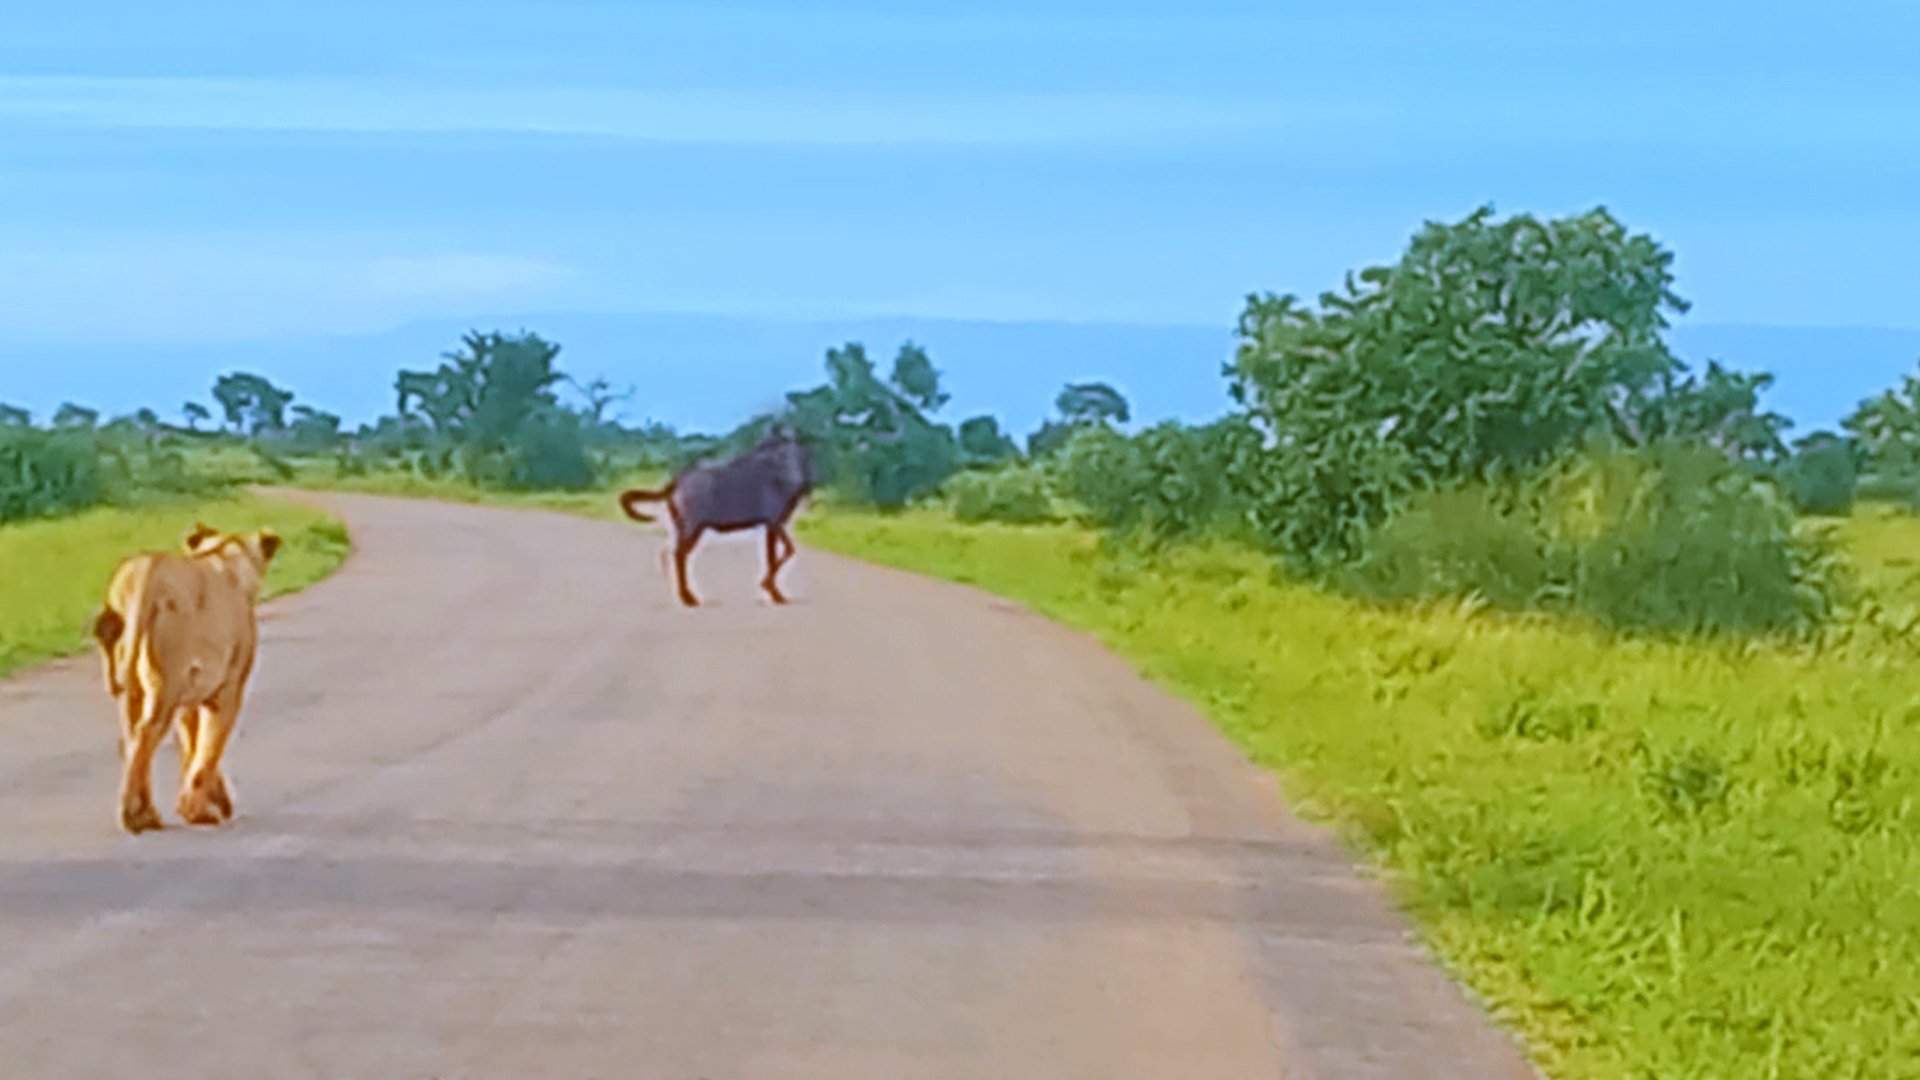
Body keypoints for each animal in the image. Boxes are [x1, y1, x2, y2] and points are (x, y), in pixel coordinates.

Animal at [88, 522, 281, 834]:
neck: (225, 558)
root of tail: (145, 575)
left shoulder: (189, 692)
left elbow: (194, 745)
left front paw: (210, 801)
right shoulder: (228, 690)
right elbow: (210, 748)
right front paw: (199, 811)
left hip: (137, 683)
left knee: (133, 740)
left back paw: (146, 814)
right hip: (165, 680)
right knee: (146, 733)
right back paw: (134, 816)